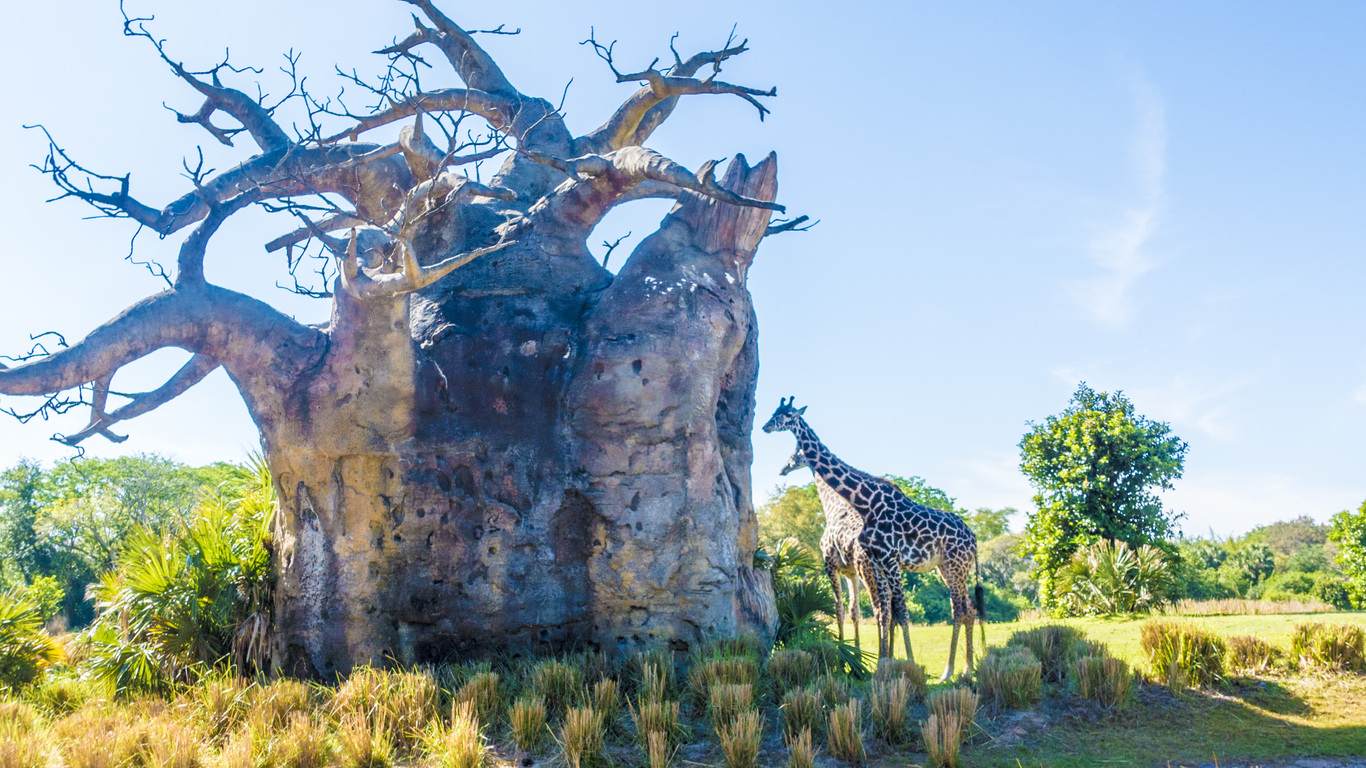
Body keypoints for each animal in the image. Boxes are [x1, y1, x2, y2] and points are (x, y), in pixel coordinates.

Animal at [779, 447, 889, 659]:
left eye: (795, 453)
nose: (783, 469)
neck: (832, 507)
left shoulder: (830, 565)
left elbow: (838, 608)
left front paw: (842, 650)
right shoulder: (850, 573)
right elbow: (854, 610)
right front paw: (856, 653)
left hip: (868, 573)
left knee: (880, 610)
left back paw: (883, 656)